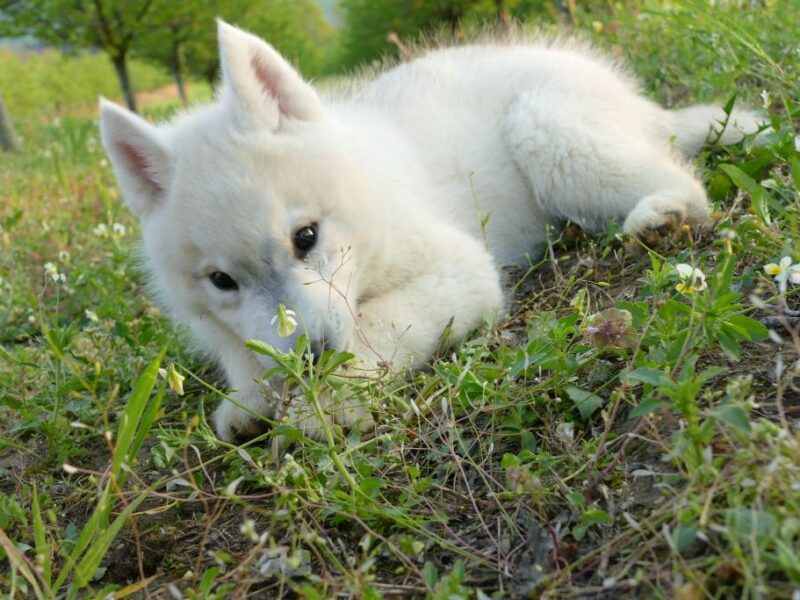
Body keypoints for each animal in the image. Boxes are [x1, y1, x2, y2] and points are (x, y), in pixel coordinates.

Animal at [98, 21, 756, 440]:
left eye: (305, 238)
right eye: (221, 281)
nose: (311, 358)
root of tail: (640, 104)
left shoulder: (461, 270)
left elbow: (375, 326)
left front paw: (323, 405)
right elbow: (246, 353)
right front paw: (252, 400)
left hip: (547, 130)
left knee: (681, 179)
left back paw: (661, 216)